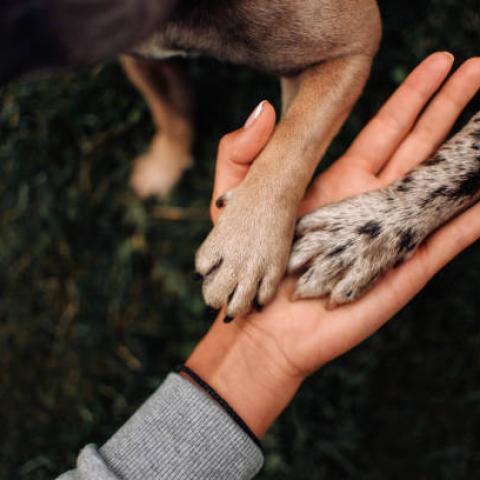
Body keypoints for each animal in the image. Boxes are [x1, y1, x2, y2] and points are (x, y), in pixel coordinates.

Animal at [0, 3, 476, 320]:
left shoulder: (349, 47)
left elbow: (294, 139)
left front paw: (249, 244)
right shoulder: (138, 55)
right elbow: (169, 109)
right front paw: (164, 165)